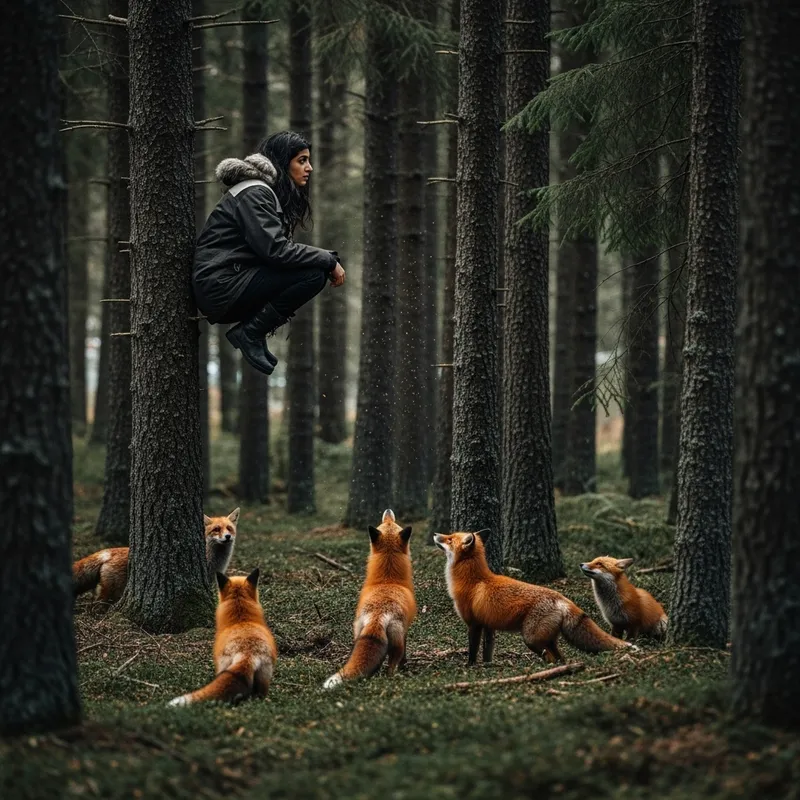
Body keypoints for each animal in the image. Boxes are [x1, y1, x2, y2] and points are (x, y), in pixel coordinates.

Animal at [73, 508, 240, 603]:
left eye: (229, 528)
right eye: (216, 529)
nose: (227, 537)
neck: (213, 560)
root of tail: (108, 552)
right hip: (110, 592)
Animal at [323, 509, 416, 689]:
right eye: (387, 523)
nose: (388, 510)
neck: (388, 580)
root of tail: (377, 616)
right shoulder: (406, 631)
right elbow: (405, 655)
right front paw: (405, 667)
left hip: (357, 632)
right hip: (397, 643)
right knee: (391, 666)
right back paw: (391, 678)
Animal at [433, 530, 632, 664]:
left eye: (449, 539)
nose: (435, 534)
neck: (473, 581)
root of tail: (562, 598)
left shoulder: (474, 624)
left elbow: (473, 650)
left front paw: (470, 666)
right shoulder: (488, 625)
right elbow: (488, 651)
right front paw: (488, 666)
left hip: (531, 639)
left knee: (550, 657)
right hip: (548, 640)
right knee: (561, 658)